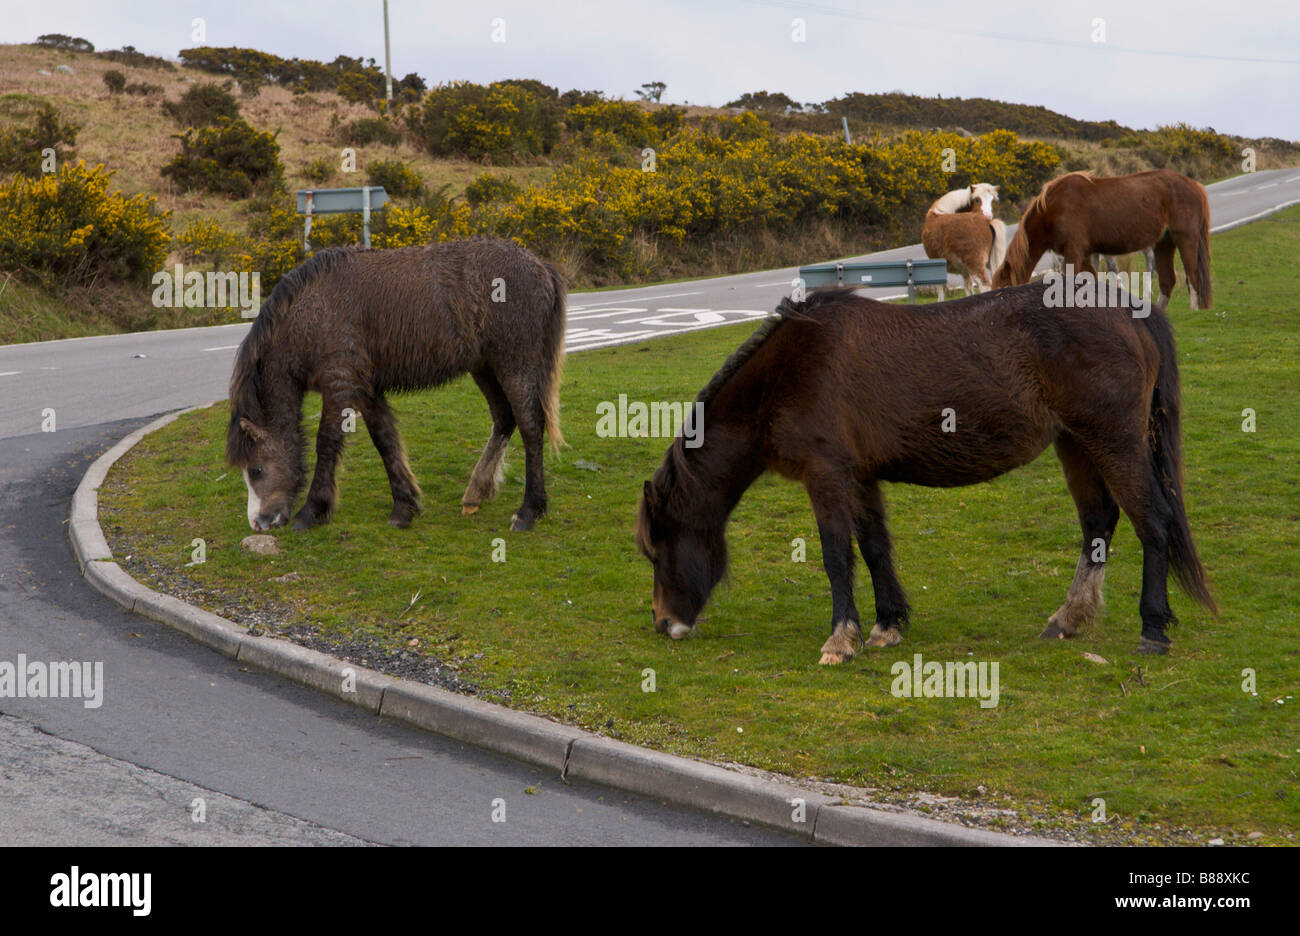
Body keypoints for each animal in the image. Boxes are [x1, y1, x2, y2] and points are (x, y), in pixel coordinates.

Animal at [224, 237, 569, 533]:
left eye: (256, 470)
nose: (258, 522)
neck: (310, 312)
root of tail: (541, 265)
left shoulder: (339, 384)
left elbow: (327, 442)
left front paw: (312, 510)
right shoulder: (367, 389)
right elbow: (385, 440)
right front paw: (405, 507)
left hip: (514, 363)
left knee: (530, 425)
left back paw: (530, 510)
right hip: (485, 368)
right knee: (504, 418)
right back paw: (476, 494)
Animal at [639, 282, 1216, 663]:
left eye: (657, 547)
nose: (665, 623)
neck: (790, 371)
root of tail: (1127, 307)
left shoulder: (826, 476)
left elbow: (836, 557)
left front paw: (840, 639)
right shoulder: (860, 477)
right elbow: (875, 547)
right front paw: (887, 623)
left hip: (1115, 443)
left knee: (1154, 523)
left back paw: (1153, 628)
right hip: (1075, 444)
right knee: (1098, 524)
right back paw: (1068, 618)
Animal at [987, 170, 1211, 309]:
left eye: (1003, 292)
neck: (1052, 209)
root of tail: (1195, 185)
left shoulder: (1075, 252)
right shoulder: (1088, 254)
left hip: (1185, 239)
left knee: (1193, 276)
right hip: (1164, 243)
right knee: (1167, 281)